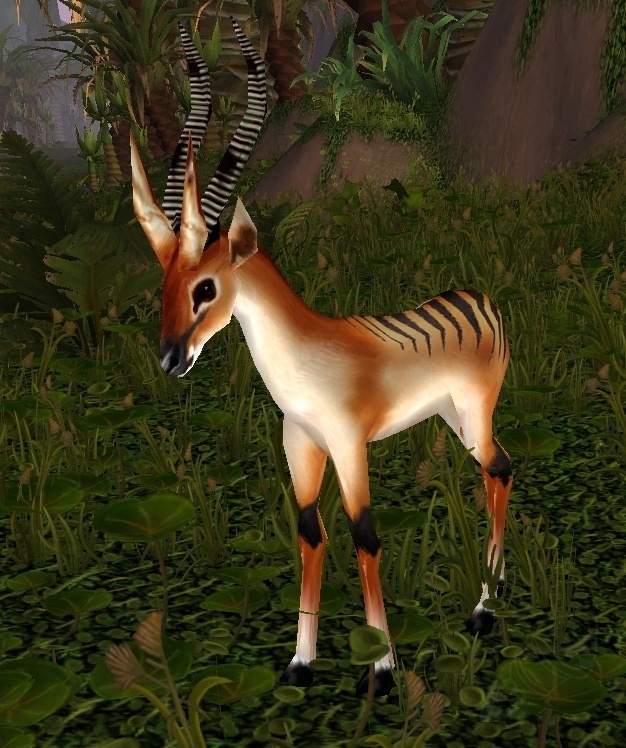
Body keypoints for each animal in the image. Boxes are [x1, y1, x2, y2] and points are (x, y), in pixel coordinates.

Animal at [131, 17, 513, 698]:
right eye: (166, 281)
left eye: (206, 287)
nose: (172, 359)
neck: (307, 360)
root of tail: (482, 298)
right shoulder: (301, 445)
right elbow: (311, 533)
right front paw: (300, 663)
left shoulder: (347, 445)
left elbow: (365, 535)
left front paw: (382, 671)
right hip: (451, 419)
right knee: (497, 472)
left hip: (474, 415)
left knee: (502, 470)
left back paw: (481, 612)